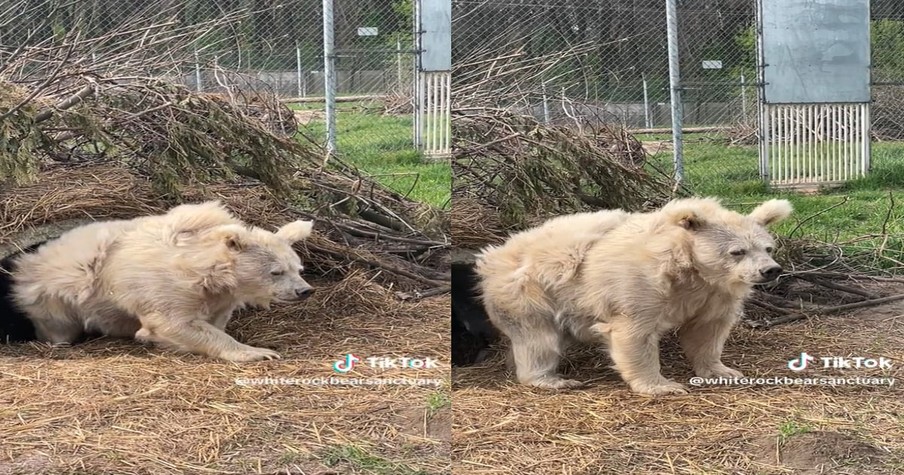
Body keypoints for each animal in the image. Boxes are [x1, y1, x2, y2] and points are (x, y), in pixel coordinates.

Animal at [8, 201, 314, 360]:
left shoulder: (220, 294)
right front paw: (258, 352)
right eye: (276, 271)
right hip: (55, 298)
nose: (304, 291)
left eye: (298, 268)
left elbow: (214, 317)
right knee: (57, 327)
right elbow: (172, 323)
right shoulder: (163, 286)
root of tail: (28, 261)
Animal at [474, 197, 792, 394]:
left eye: (768, 247)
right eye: (737, 251)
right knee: (538, 340)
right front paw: (662, 385)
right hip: (531, 293)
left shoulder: (713, 294)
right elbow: (634, 333)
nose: (770, 270)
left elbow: (707, 331)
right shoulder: (640, 285)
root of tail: (491, 257)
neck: (688, 269)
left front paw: (723, 371)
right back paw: (552, 380)